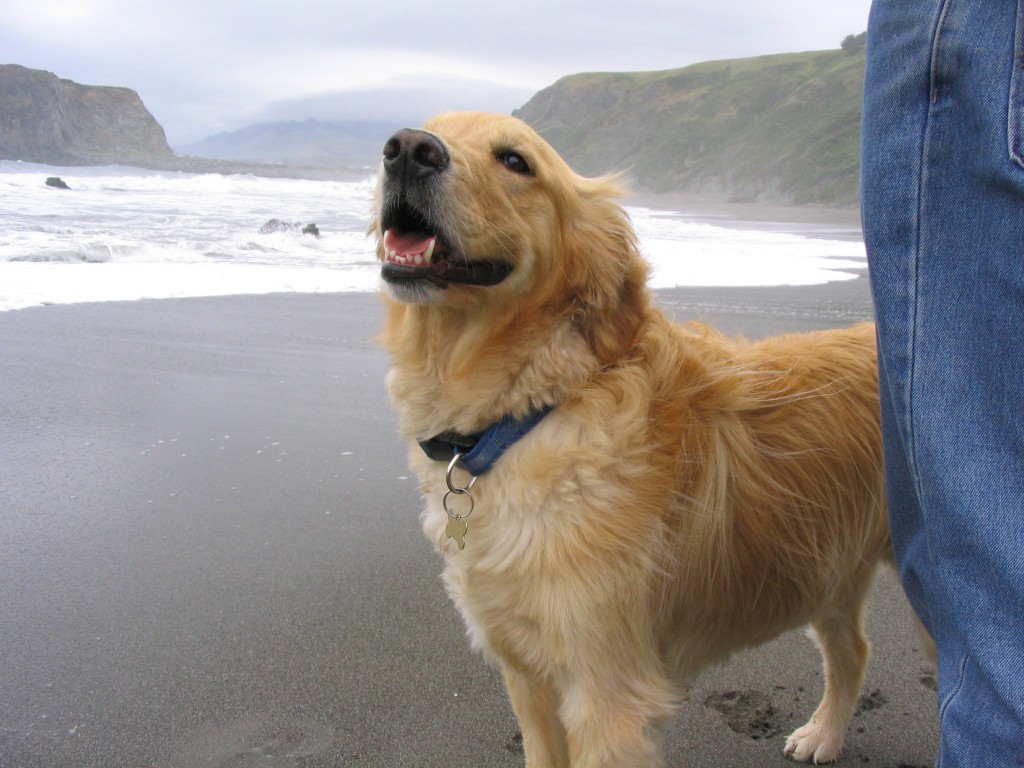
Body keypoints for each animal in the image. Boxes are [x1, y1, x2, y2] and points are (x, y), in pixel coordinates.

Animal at [372, 111, 892, 765]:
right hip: (829, 568)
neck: (532, 410)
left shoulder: (607, 694)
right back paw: (824, 733)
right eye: (427, 130)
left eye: (516, 161)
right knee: (855, 650)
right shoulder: (527, 673)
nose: (407, 150)